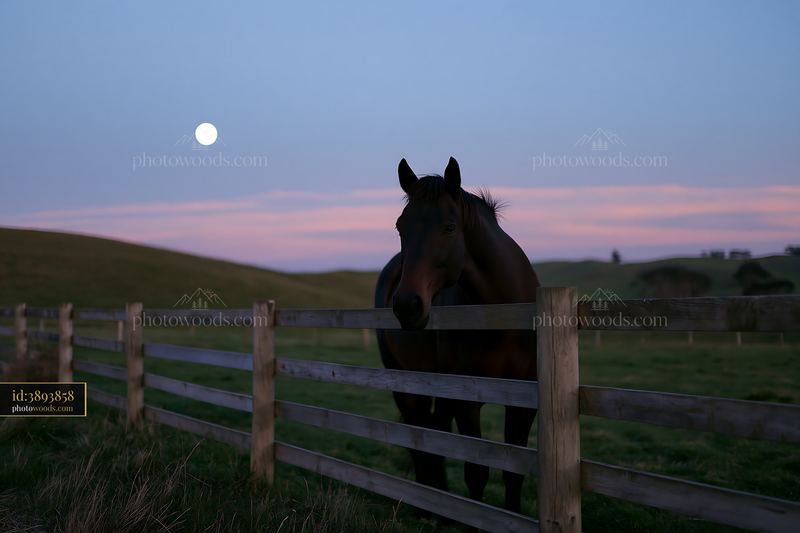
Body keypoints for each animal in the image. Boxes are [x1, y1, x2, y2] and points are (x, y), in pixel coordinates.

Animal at [374, 157, 540, 513]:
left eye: (449, 227)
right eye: (400, 227)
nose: (407, 305)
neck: (504, 318)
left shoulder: (524, 402)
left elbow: (514, 472)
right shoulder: (467, 402)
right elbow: (476, 472)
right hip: (405, 380)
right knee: (417, 435)